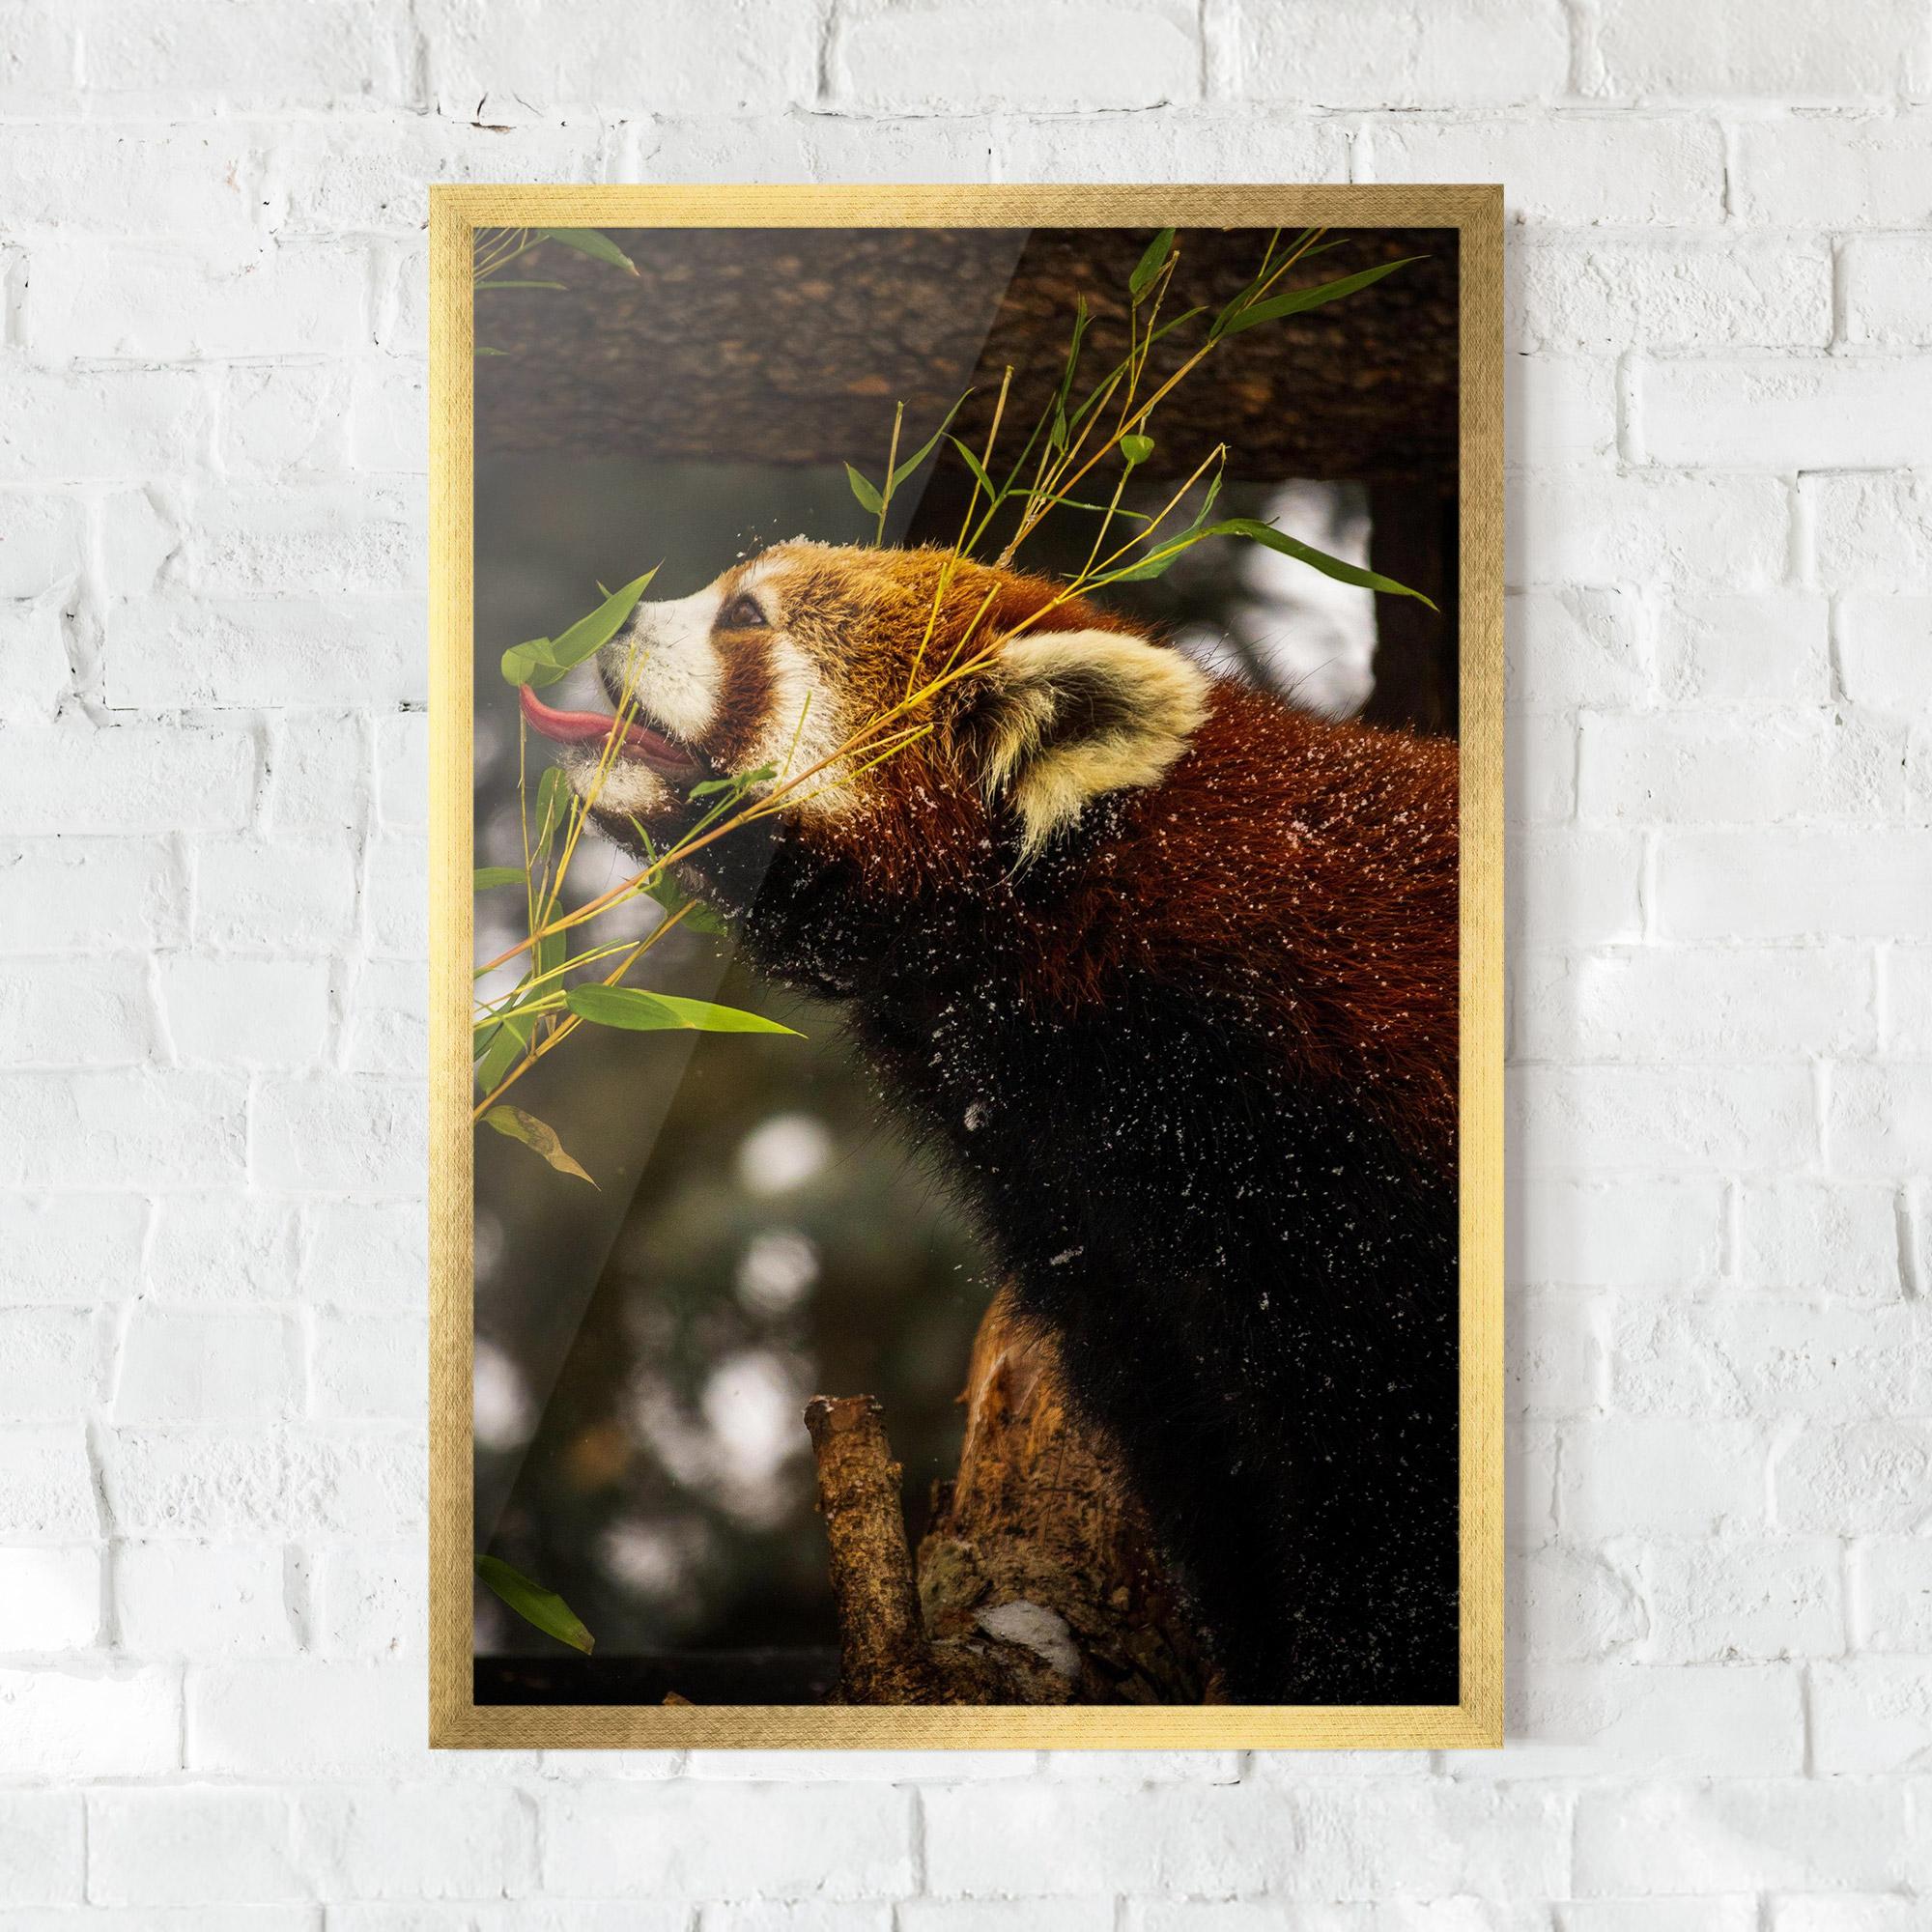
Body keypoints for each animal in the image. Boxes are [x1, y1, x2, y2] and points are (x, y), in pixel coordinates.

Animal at [521, 539, 1460, 1705]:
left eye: (745, 616)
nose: (605, 622)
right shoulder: (1091, 1218)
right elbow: (1199, 1452)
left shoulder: (1343, 1164)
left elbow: (1387, 1489)